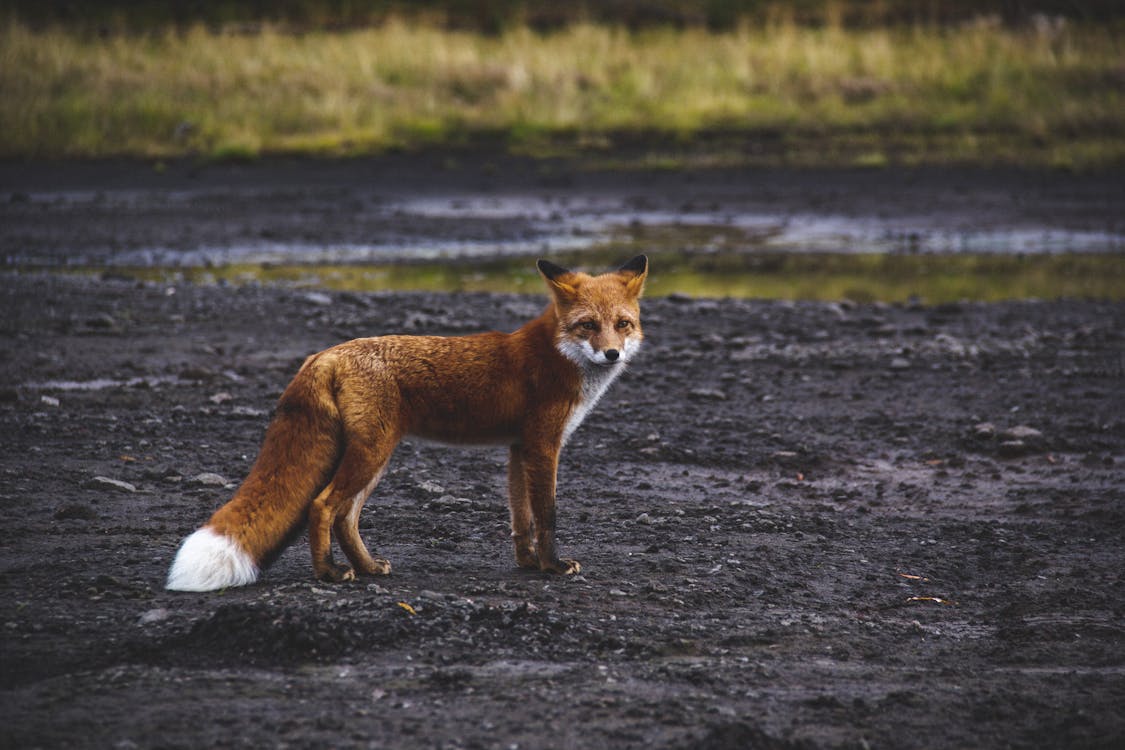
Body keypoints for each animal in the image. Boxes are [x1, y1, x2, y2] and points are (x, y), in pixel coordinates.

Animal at [163, 256, 648, 593]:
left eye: (623, 324)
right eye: (588, 326)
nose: (612, 354)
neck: (557, 356)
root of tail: (323, 356)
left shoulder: (518, 448)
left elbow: (521, 517)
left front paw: (528, 563)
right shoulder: (544, 445)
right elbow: (546, 514)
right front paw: (552, 566)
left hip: (376, 456)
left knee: (345, 517)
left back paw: (367, 568)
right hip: (372, 452)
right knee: (322, 506)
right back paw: (329, 573)